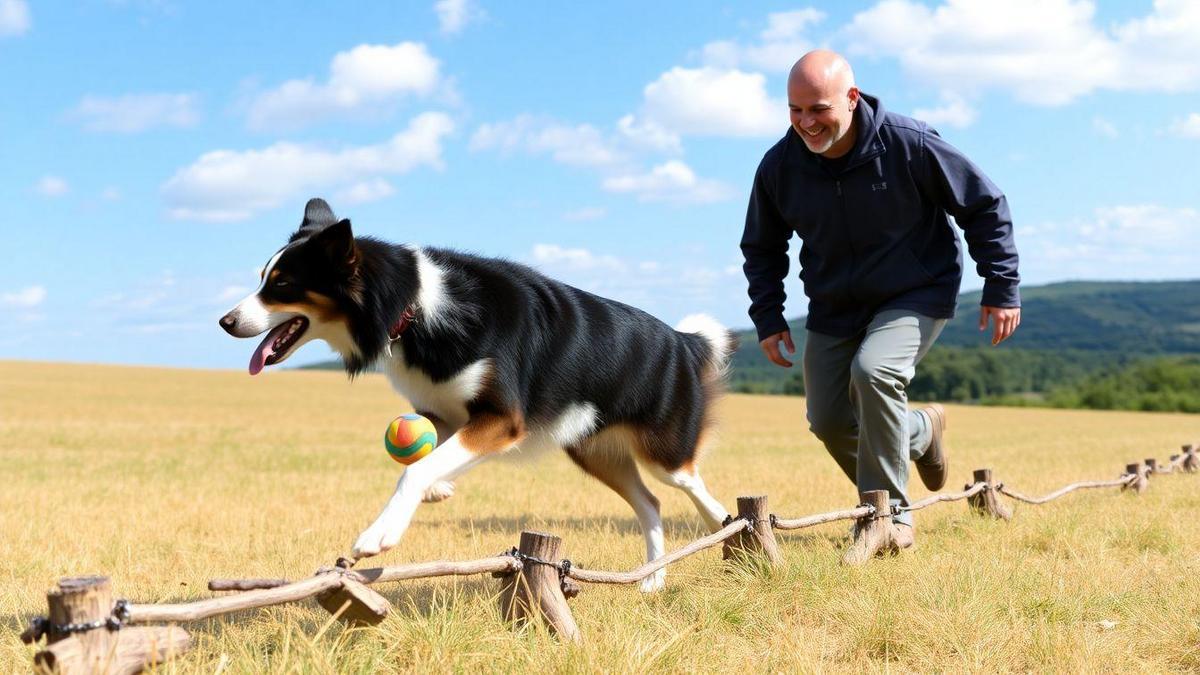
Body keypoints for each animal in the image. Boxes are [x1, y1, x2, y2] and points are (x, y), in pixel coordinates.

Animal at [220, 196, 734, 586]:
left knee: (688, 484)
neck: (413, 308)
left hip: (662, 449)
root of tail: (683, 341)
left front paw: (379, 533)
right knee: (650, 502)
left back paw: (723, 528)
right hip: (592, 449)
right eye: (264, 279)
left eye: (282, 285)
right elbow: (428, 458)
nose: (225, 322)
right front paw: (438, 487)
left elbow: (414, 470)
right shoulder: (442, 412)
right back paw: (652, 580)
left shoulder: (502, 418)